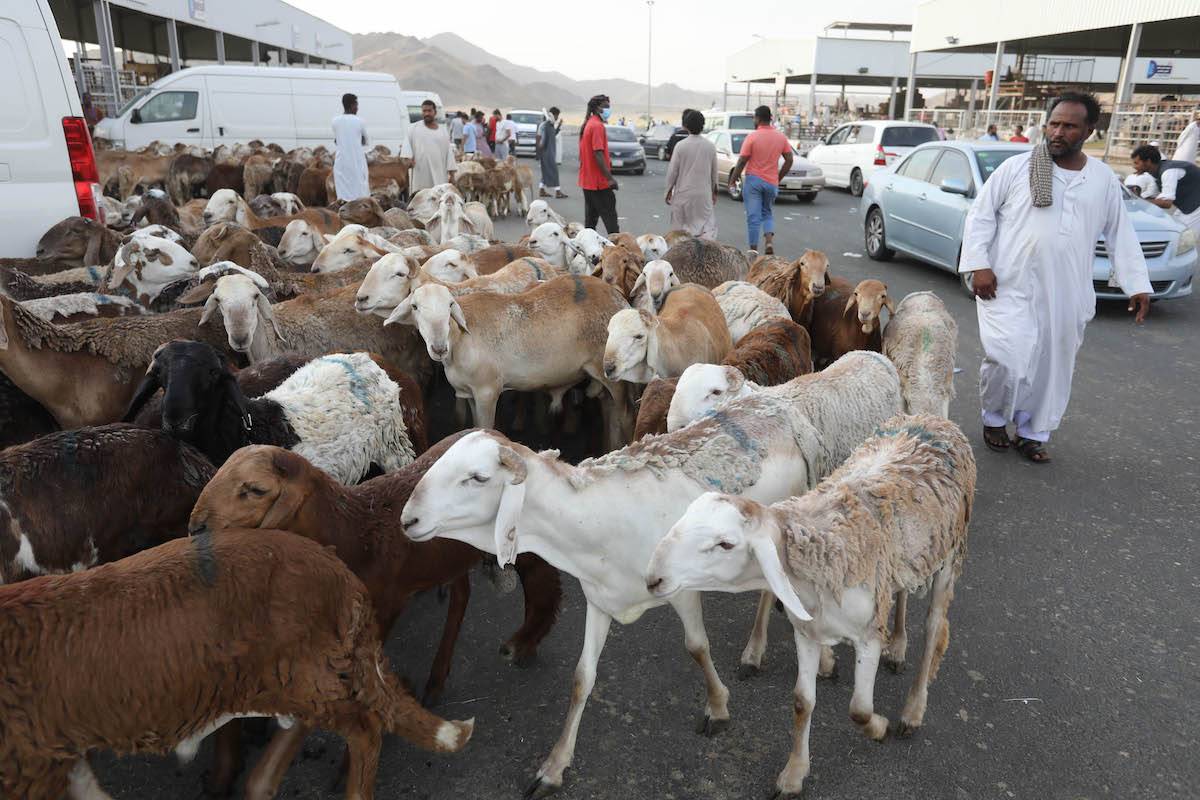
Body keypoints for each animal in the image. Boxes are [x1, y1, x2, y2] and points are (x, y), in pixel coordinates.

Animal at [398, 352, 902, 796]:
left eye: (478, 478)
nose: (407, 520)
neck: (597, 521)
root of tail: (775, 403)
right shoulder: (599, 600)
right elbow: (581, 679)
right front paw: (554, 766)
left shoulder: (679, 588)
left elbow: (696, 647)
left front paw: (717, 708)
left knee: (773, 593)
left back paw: (767, 651)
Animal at [648, 417, 974, 796]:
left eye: (725, 543)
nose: (653, 577)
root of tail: (931, 420)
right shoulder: (806, 631)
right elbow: (802, 701)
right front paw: (794, 773)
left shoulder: (866, 635)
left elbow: (859, 709)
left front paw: (879, 728)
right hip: (907, 557)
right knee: (903, 592)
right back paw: (897, 646)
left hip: (950, 554)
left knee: (935, 627)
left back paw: (913, 709)